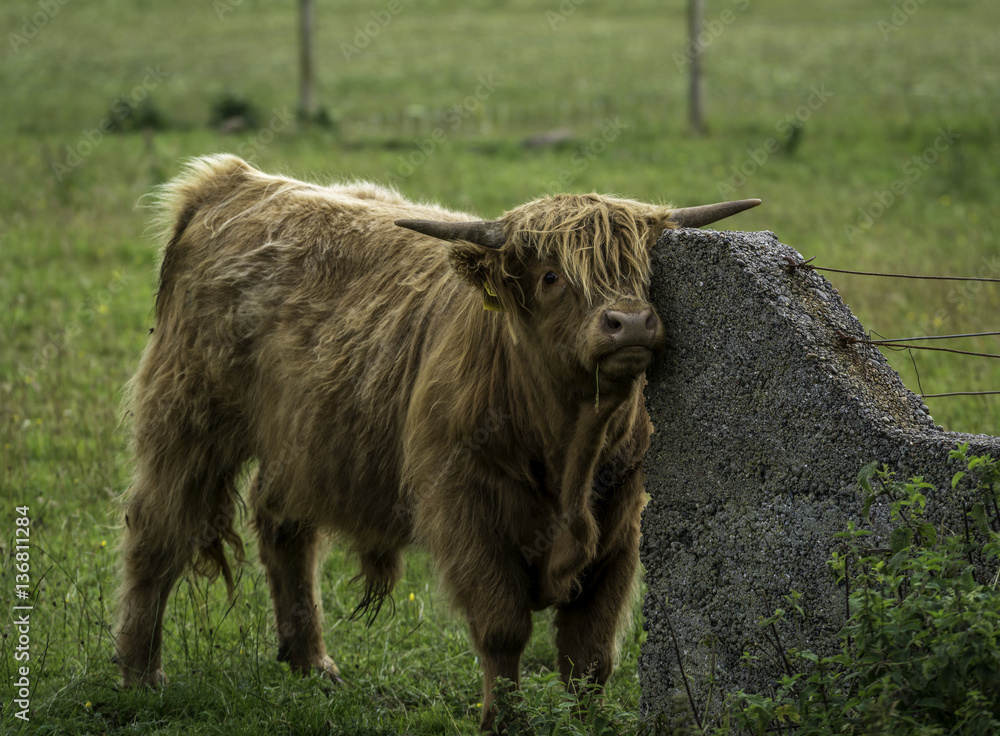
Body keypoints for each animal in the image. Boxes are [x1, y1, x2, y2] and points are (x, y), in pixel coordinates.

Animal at [115, 155, 756, 732]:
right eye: (551, 276)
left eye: (645, 273)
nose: (630, 323)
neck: (570, 443)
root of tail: (234, 181)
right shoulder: (466, 511)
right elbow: (503, 628)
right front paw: (504, 721)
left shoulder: (618, 528)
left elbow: (589, 650)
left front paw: (590, 723)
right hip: (187, 418)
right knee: (158, 532)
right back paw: (140, 677)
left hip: (299, 442)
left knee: (284, 530)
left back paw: (313, 665)